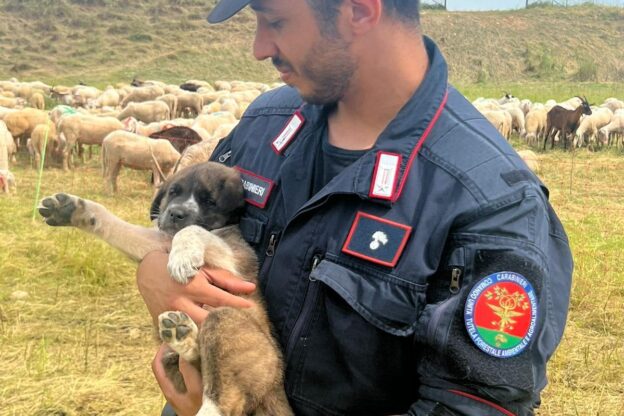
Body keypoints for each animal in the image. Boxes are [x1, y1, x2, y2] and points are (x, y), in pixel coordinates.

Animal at [37, 162, 294, 416]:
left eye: (209, 201)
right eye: (173, 192)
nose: (176, 213)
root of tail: (276, 390)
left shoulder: (234, 260)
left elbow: (192, 230)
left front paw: (183, 256)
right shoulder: (159, 241)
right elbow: (120, 227)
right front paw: (72, 209)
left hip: (229, 322)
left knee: (226, 398)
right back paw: (183, 334)